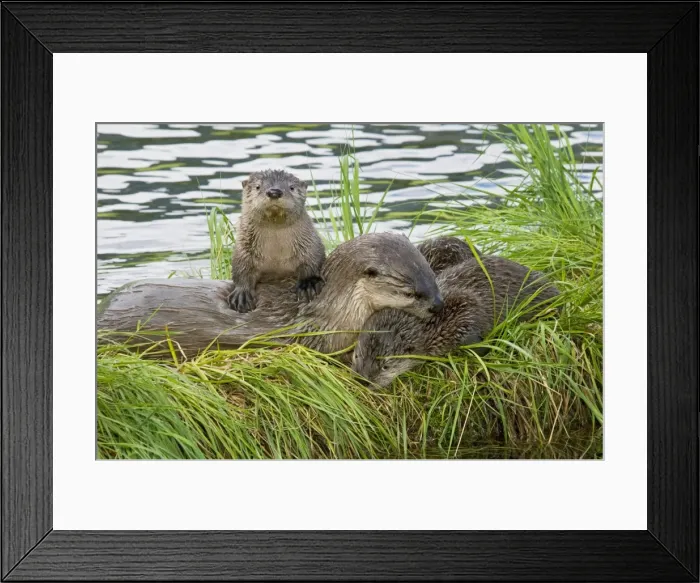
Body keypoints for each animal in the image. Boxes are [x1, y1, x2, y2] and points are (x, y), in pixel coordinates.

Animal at [228, 169, 326, 313]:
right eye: (258, 186)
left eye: (291, 187)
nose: (274, 192)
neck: (276, 254)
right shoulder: (243, 250)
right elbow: (240, 268)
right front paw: (242, 294)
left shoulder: (310, 244)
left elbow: (313, 259)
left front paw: (308, 283)